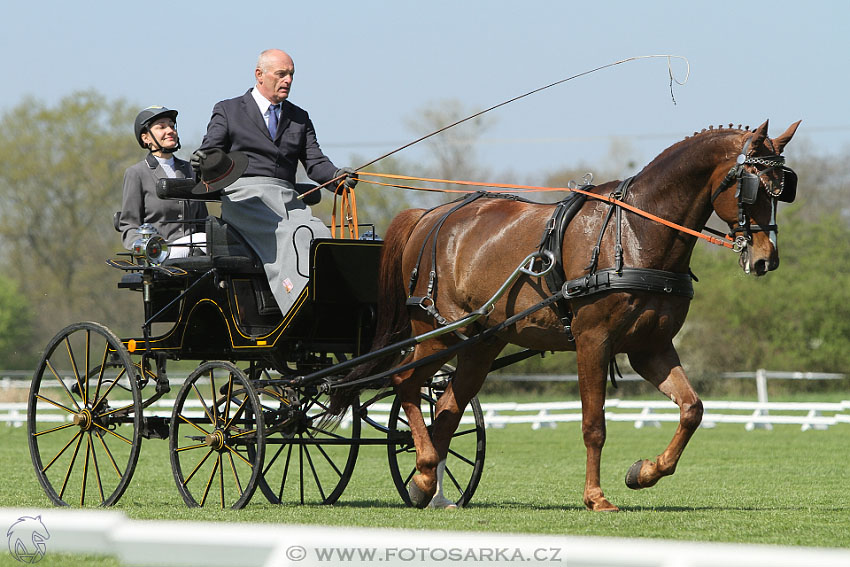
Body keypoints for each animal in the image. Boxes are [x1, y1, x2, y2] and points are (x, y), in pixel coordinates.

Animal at [330, 120, 796, 510]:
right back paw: (425, 472)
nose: (765, 259)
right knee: (406, 385)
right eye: (753, 188)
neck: (634, 233)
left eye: (784, 188)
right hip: (436, 334)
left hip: (482, 343)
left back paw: (429, 488)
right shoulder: (593, 341)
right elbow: (594, 424)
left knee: (446, 410)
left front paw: (643, 473)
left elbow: (692, 409)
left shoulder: (651, 347)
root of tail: (429, 216)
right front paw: (596, 497)